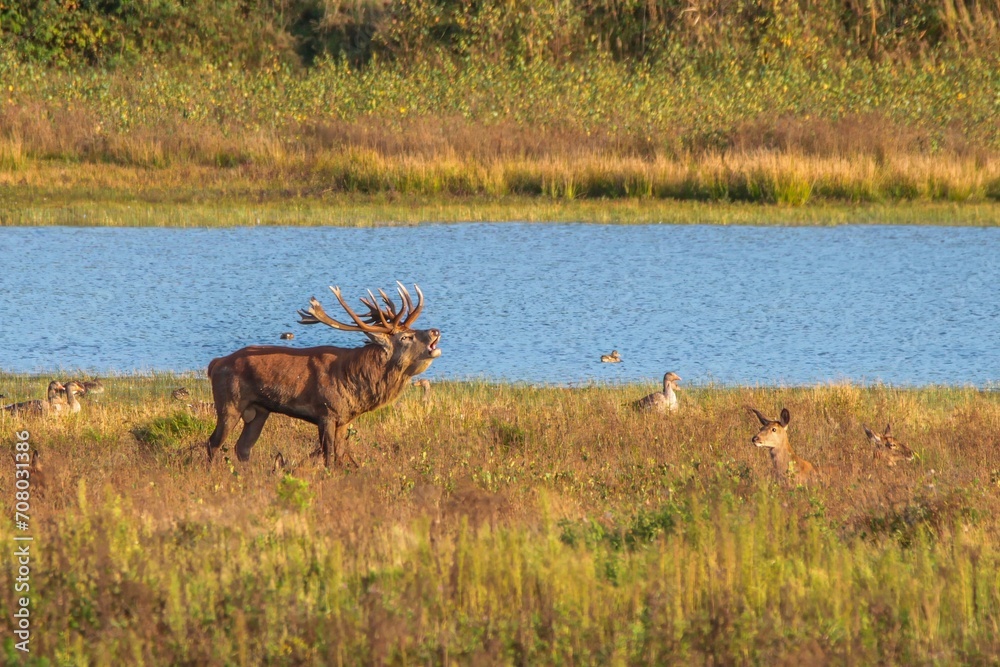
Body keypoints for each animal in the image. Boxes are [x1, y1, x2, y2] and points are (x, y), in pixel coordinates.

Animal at [206, 282, 441, 468]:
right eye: (406, 337)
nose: (435, 330)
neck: (356, 382)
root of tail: (215, 364)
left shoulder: (344, 418)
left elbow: (339, 455)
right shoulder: (326, 412)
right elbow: (328, 456)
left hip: (259, 411)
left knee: (242, 447)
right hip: (229, 403)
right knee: (213, 442)